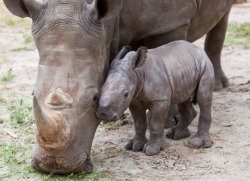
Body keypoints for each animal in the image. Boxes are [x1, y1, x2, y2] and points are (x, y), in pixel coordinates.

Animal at [3, 0, 233, 174]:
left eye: (94, 98)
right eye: (32, 94)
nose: (55, 167)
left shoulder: (171, 22)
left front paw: (167, 124)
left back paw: (217, 87)